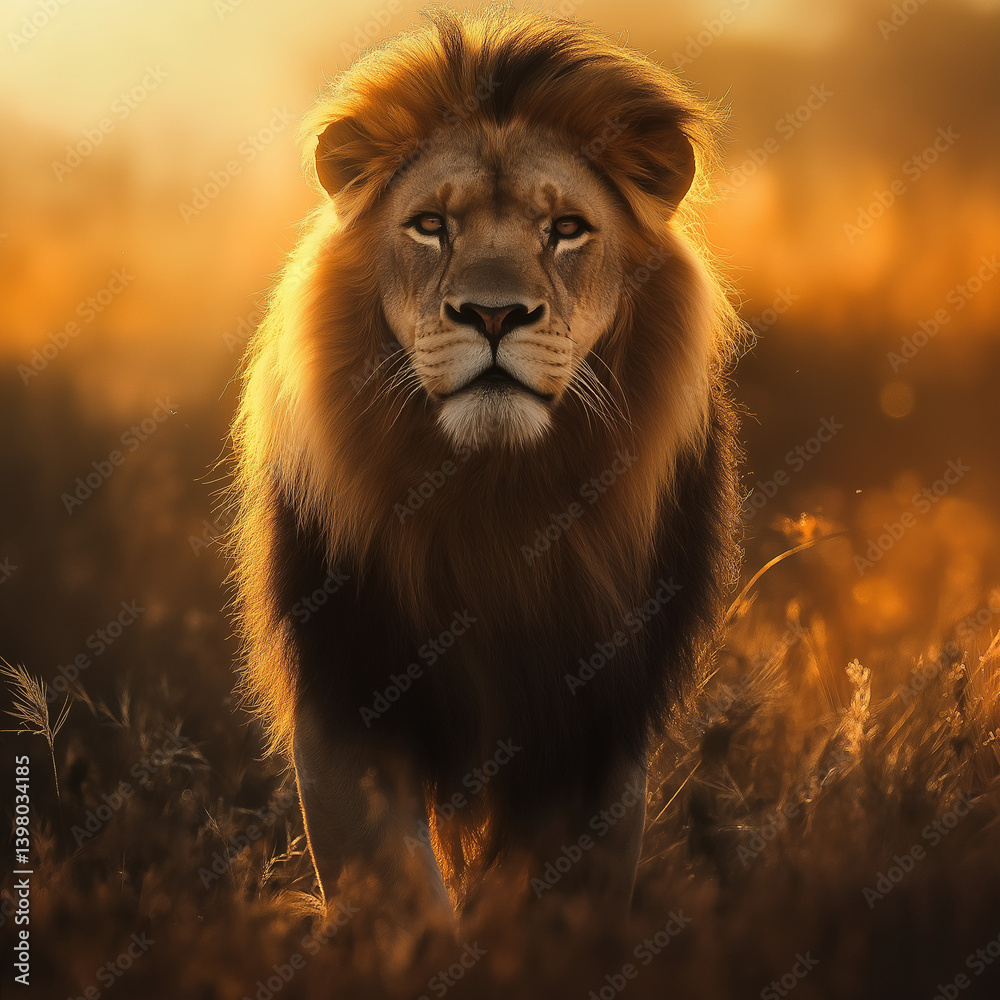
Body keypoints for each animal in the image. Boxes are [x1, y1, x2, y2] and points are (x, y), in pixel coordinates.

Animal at [226, 7, 742, 925]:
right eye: (432, 225)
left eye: (565, 229)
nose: (493, 314)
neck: (493, 497)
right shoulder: (346, 689)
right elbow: (392, 890)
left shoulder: (597, 720)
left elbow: (545, 910)